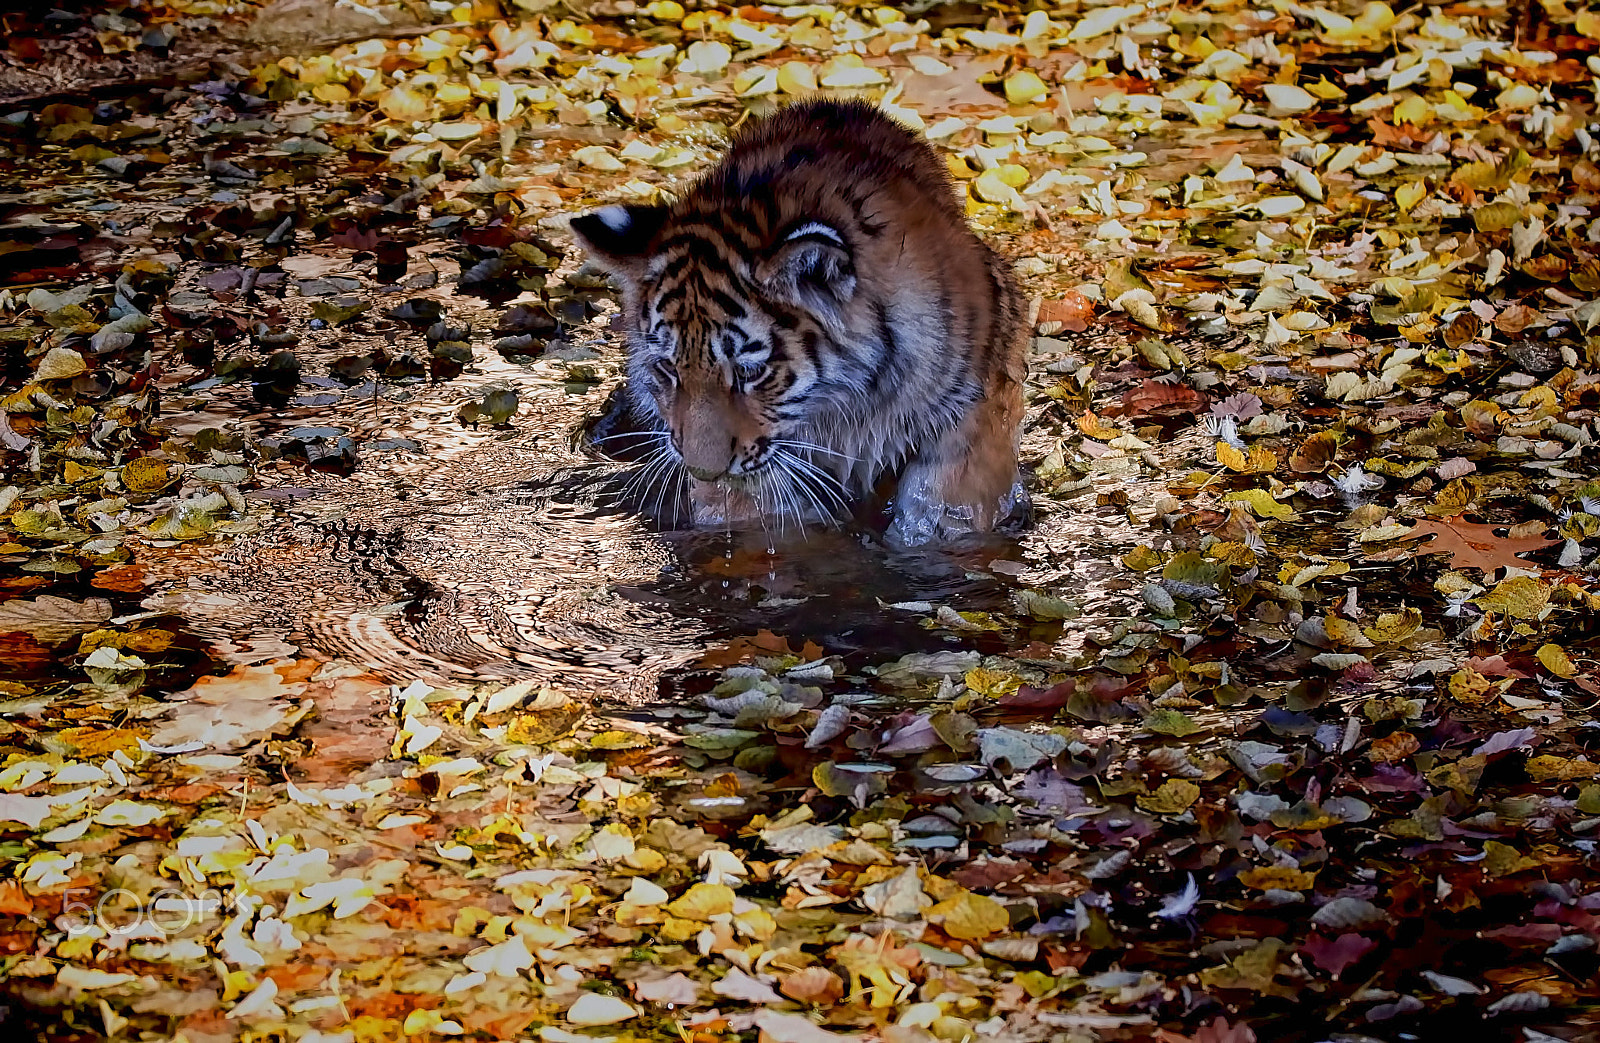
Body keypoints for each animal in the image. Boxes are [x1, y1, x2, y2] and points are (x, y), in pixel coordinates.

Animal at [569, 99, 1030, 547]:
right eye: (667, 367)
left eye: (749, 372)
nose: (704, 471)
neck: (841, 411)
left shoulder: (970, 406)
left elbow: (944, 504)